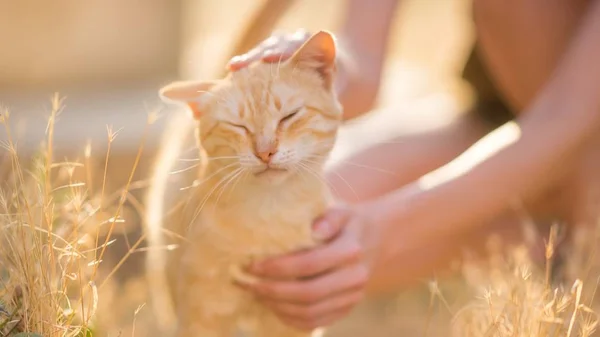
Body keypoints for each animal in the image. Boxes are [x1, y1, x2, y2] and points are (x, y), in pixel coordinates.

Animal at [144, 30, 342, 334]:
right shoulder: (203, 313)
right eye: (238, 126)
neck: (270, 214)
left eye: (289, 116)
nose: (265, 152)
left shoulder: (291, 316)